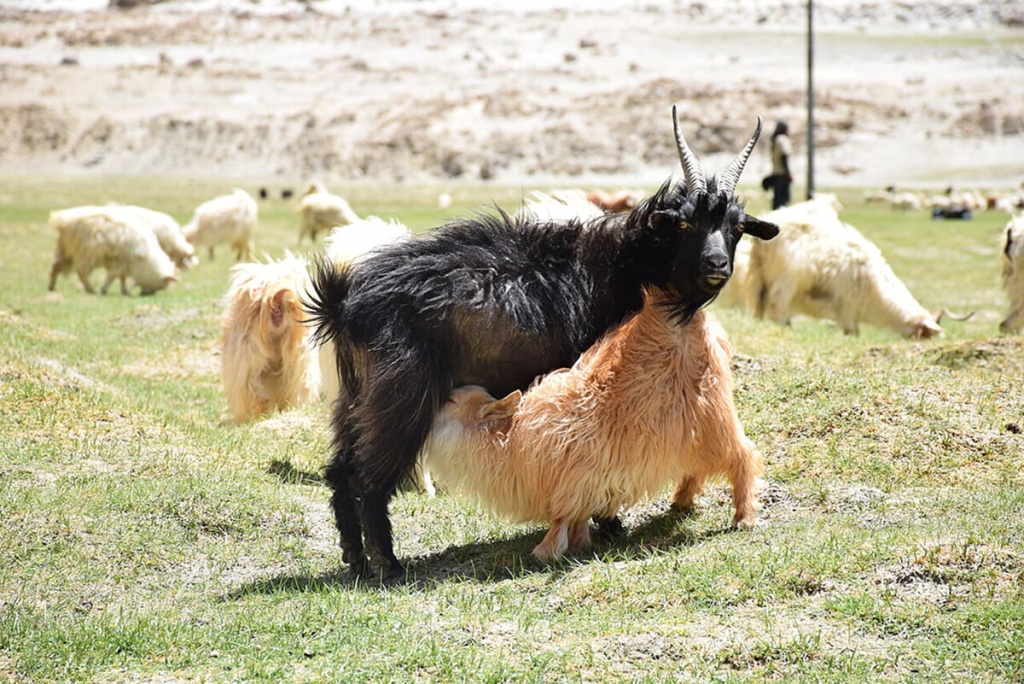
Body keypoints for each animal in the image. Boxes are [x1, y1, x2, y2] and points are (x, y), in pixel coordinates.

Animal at [424, 300, 762, 561]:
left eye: (451, 400)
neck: (510, 442)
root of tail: (699, 321)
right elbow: (575, 517)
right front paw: (578, 543)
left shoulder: (573, 480)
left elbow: (561, 517)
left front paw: (547, 550)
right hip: (690, 431)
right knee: (696, 467)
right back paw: (681, 500)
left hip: (714, 418)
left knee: (743, 456)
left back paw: (743, 517)